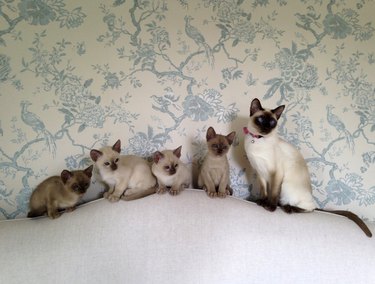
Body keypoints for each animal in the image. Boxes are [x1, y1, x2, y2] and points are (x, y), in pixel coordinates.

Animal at [244, 97, 374, 237]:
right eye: (261, 120)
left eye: (272, 122)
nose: (267, 128)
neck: (258, 140)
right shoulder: (260, 172)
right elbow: (264, 191)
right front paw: (261, 201)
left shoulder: (276, 173)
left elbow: (273, 193)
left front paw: (270, 207)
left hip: (286, 186)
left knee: (310, 208)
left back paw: (288, 208)